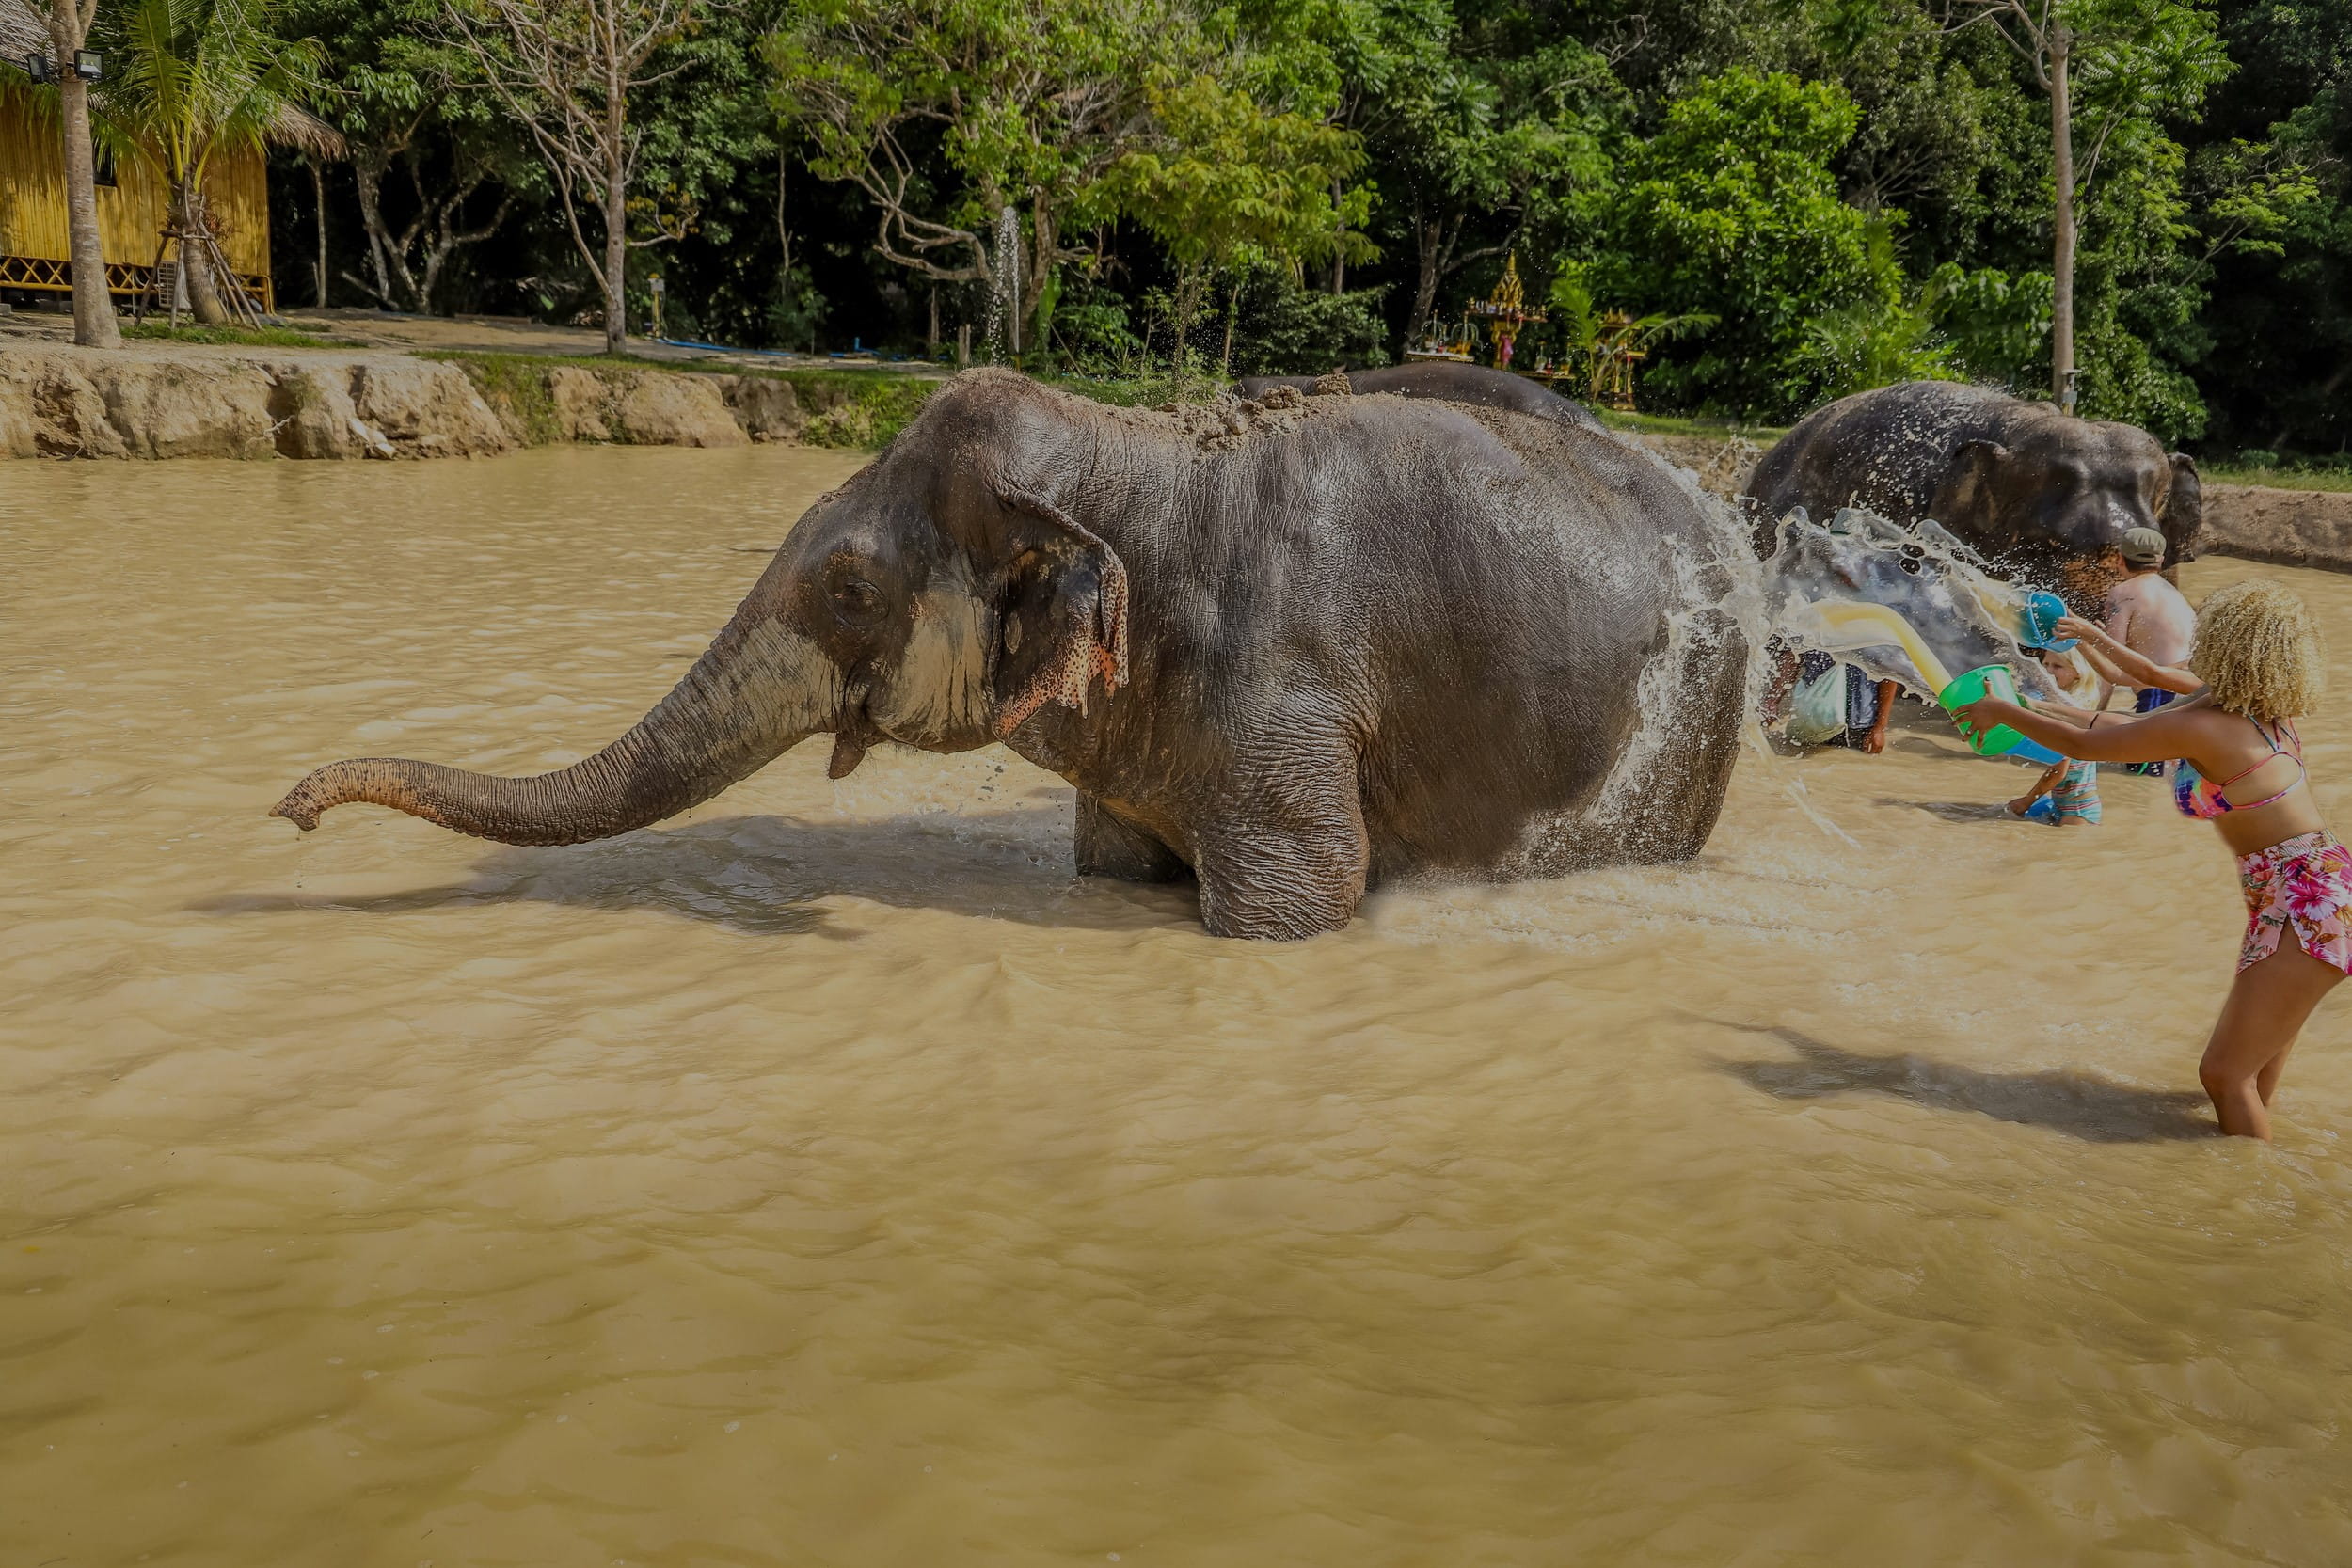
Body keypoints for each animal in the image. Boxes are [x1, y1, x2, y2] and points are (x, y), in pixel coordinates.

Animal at [270, 373, 1750, 940]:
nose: (289, 808)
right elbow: (1111, 869)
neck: (1138, 452)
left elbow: (1303, 900)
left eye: (849, 584)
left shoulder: (1288, 700)